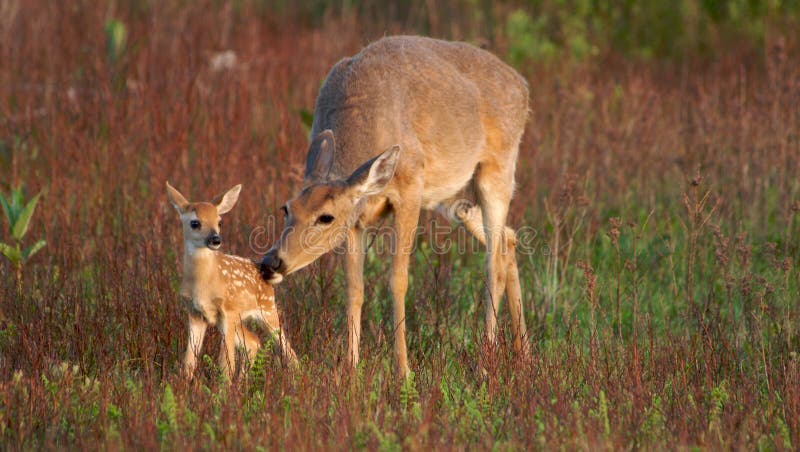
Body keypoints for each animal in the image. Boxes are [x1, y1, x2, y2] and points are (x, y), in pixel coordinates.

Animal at [167, 182, 298, 380]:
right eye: (195, 223)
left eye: (219, 222)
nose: (215, 239)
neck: (202, 284)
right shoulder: (195, 313)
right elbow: (189, 361)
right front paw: (183, 384)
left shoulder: (227, 310)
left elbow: (225, 364)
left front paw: (223, 387)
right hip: (238, 318)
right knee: (254, 341)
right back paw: (243, 381)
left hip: (267, 309)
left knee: (288, 350)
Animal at [262, 37, 536, 378]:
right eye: (286, 208)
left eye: (326, 217)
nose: (270, 262)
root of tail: (522, 85)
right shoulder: (356, 220)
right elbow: (354, 288)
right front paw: (350, 368)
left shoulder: (410, 187)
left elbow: (398, 281)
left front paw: (403, 371)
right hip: (454, 199)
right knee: (509, 241)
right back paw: (524, 354)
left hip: (497, 169)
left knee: (493, 261)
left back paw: (487, 359)